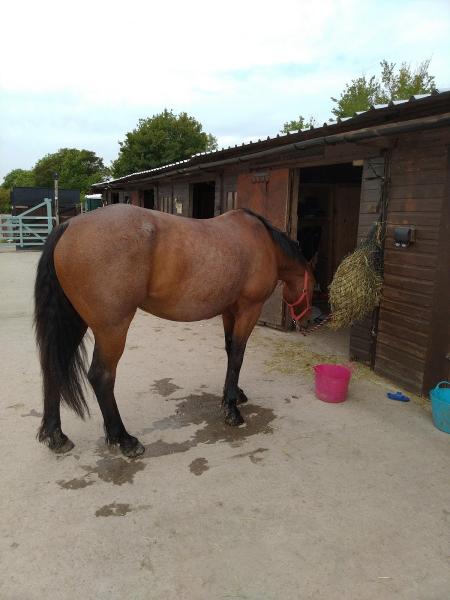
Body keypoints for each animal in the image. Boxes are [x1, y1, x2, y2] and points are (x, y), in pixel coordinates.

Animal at [34, 204, 312, 458]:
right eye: (312, 288)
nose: (310, 322)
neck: (264, 243)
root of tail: (69, 225)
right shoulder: (248, 310)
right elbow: (237, 356)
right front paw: (232, 410)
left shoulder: (229, 311)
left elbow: (230, 350)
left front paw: (234, 395)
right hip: (112, 330)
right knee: (101, 377)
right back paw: (124, 439)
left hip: (75, 321)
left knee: (53, 369)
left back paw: (55, 436)